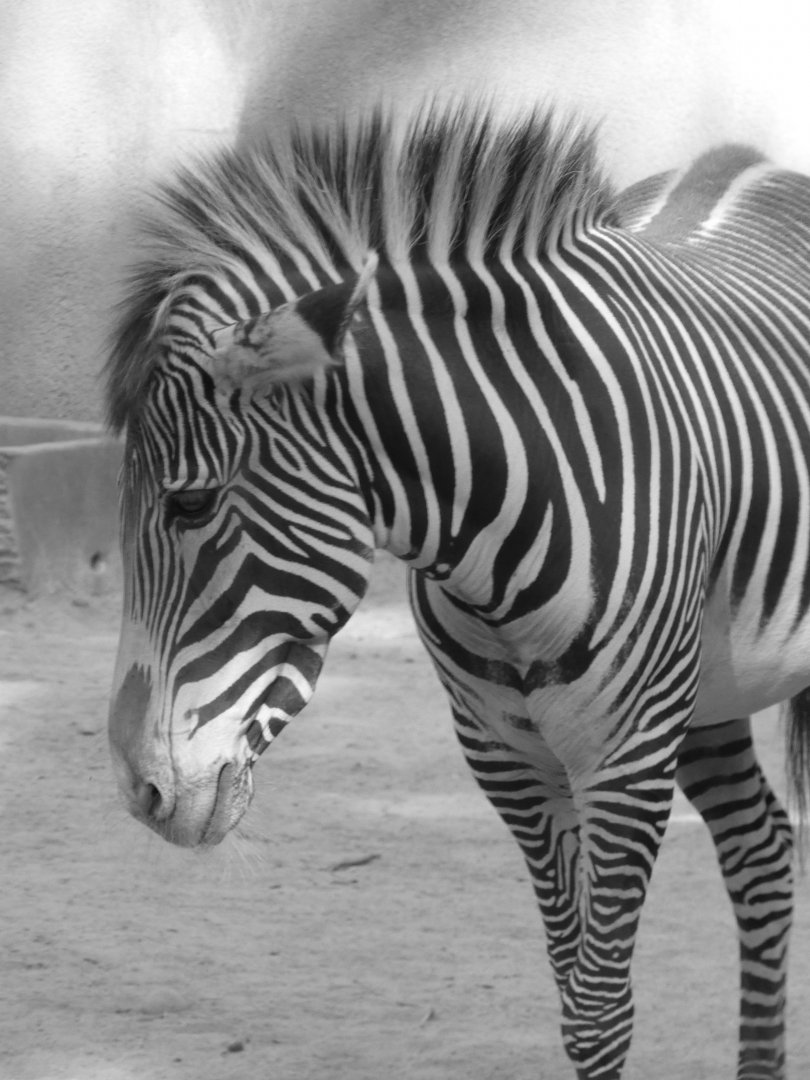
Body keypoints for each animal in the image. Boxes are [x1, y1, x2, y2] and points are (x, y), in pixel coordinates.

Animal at [106, 103, 810, 1079]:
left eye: (191, 503)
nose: (138, 793)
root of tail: (755, 163)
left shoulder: (625, 759)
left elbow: (600, 1007)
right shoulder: (505, 758)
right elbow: (572, 990)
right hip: (708, 693)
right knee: (762, 854)